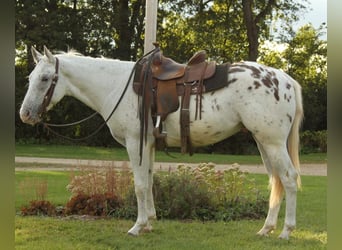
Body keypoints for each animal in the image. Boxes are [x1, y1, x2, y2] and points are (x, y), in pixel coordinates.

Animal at [19, 46, 302, 239]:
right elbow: (150, 181)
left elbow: (140, 186)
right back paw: (266, 229)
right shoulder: (149, 145)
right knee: (276, 180)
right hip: (263, 142)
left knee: (288, 178)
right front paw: (150, 221)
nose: (25, 114)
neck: (116, 86)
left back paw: (286, 231)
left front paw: (137, 226)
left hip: (272, 143)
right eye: (30, 78)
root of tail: (285, 79)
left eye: (45, 79)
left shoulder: (135, 142)